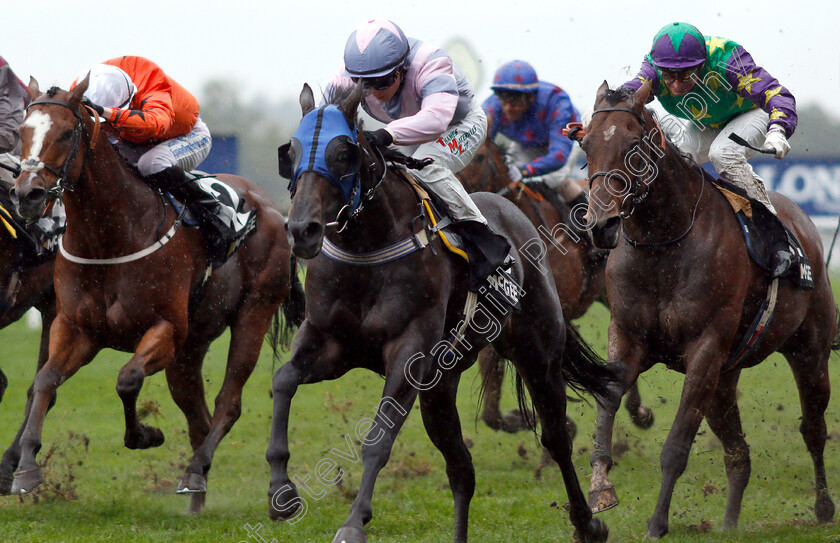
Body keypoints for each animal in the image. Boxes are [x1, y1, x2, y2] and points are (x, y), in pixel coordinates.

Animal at [8, 77, 304, 516]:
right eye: (22, 132)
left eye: (64, 133)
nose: (27, 195)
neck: (110, 236)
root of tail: (272, 209)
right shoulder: (76, 327)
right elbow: (45, 381)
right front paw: (26, 469)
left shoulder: (165, 328)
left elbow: (127, 379)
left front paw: (145, 435)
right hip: (190, 349)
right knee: (198, 417)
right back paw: (196, 496)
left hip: (253, 313)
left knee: (228, 403)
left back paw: (196, 472)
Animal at [270, 82, 616, 543]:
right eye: (290, 151)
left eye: (343, 153)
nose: (301, 230)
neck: (367, 249)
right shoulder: (330, 342)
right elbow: (283, 380)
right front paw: (281, 490)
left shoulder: (409, 350)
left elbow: (379, 436)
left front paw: (353, 522)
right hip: (439, 388)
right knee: (461, 470)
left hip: (538, 354)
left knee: (556, 437)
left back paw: (588, 521)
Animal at [580, 82, 836, 540]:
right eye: (586, 143)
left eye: (633, 145)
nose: (601, 226)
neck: (664, 244)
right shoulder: (627, 336)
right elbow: (607, 399)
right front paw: (601, 489)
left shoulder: (705, 349)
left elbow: (677, 445)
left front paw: (657, 523)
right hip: (725, 380)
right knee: (739, 454)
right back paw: (730, 522)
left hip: (810, 353)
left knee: (813, 429)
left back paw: (823, 507)